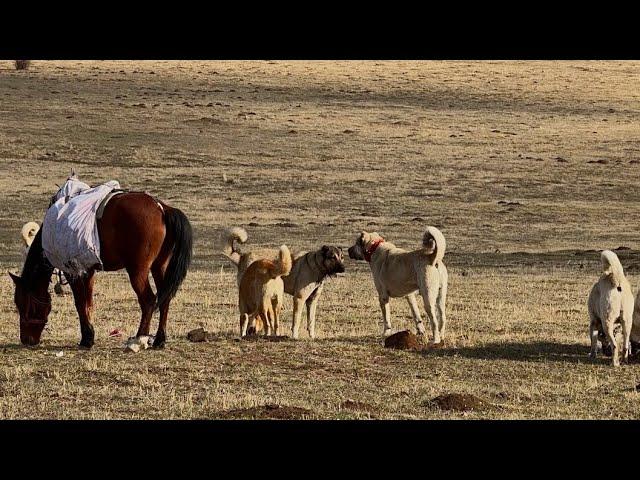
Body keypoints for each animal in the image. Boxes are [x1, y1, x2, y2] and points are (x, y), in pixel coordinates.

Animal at [8, 192, 192, 348]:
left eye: (23, 304)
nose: (26, 340)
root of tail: (161, 208)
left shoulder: (72, 272)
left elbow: (80, 303)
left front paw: (87, 339)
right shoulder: (89, 272)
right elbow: (88, 303)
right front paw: (89, 336)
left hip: (137, 271)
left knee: (148, 300)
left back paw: (139, 338)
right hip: (159, 266)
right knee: (165, 297)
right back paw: (160, 339)